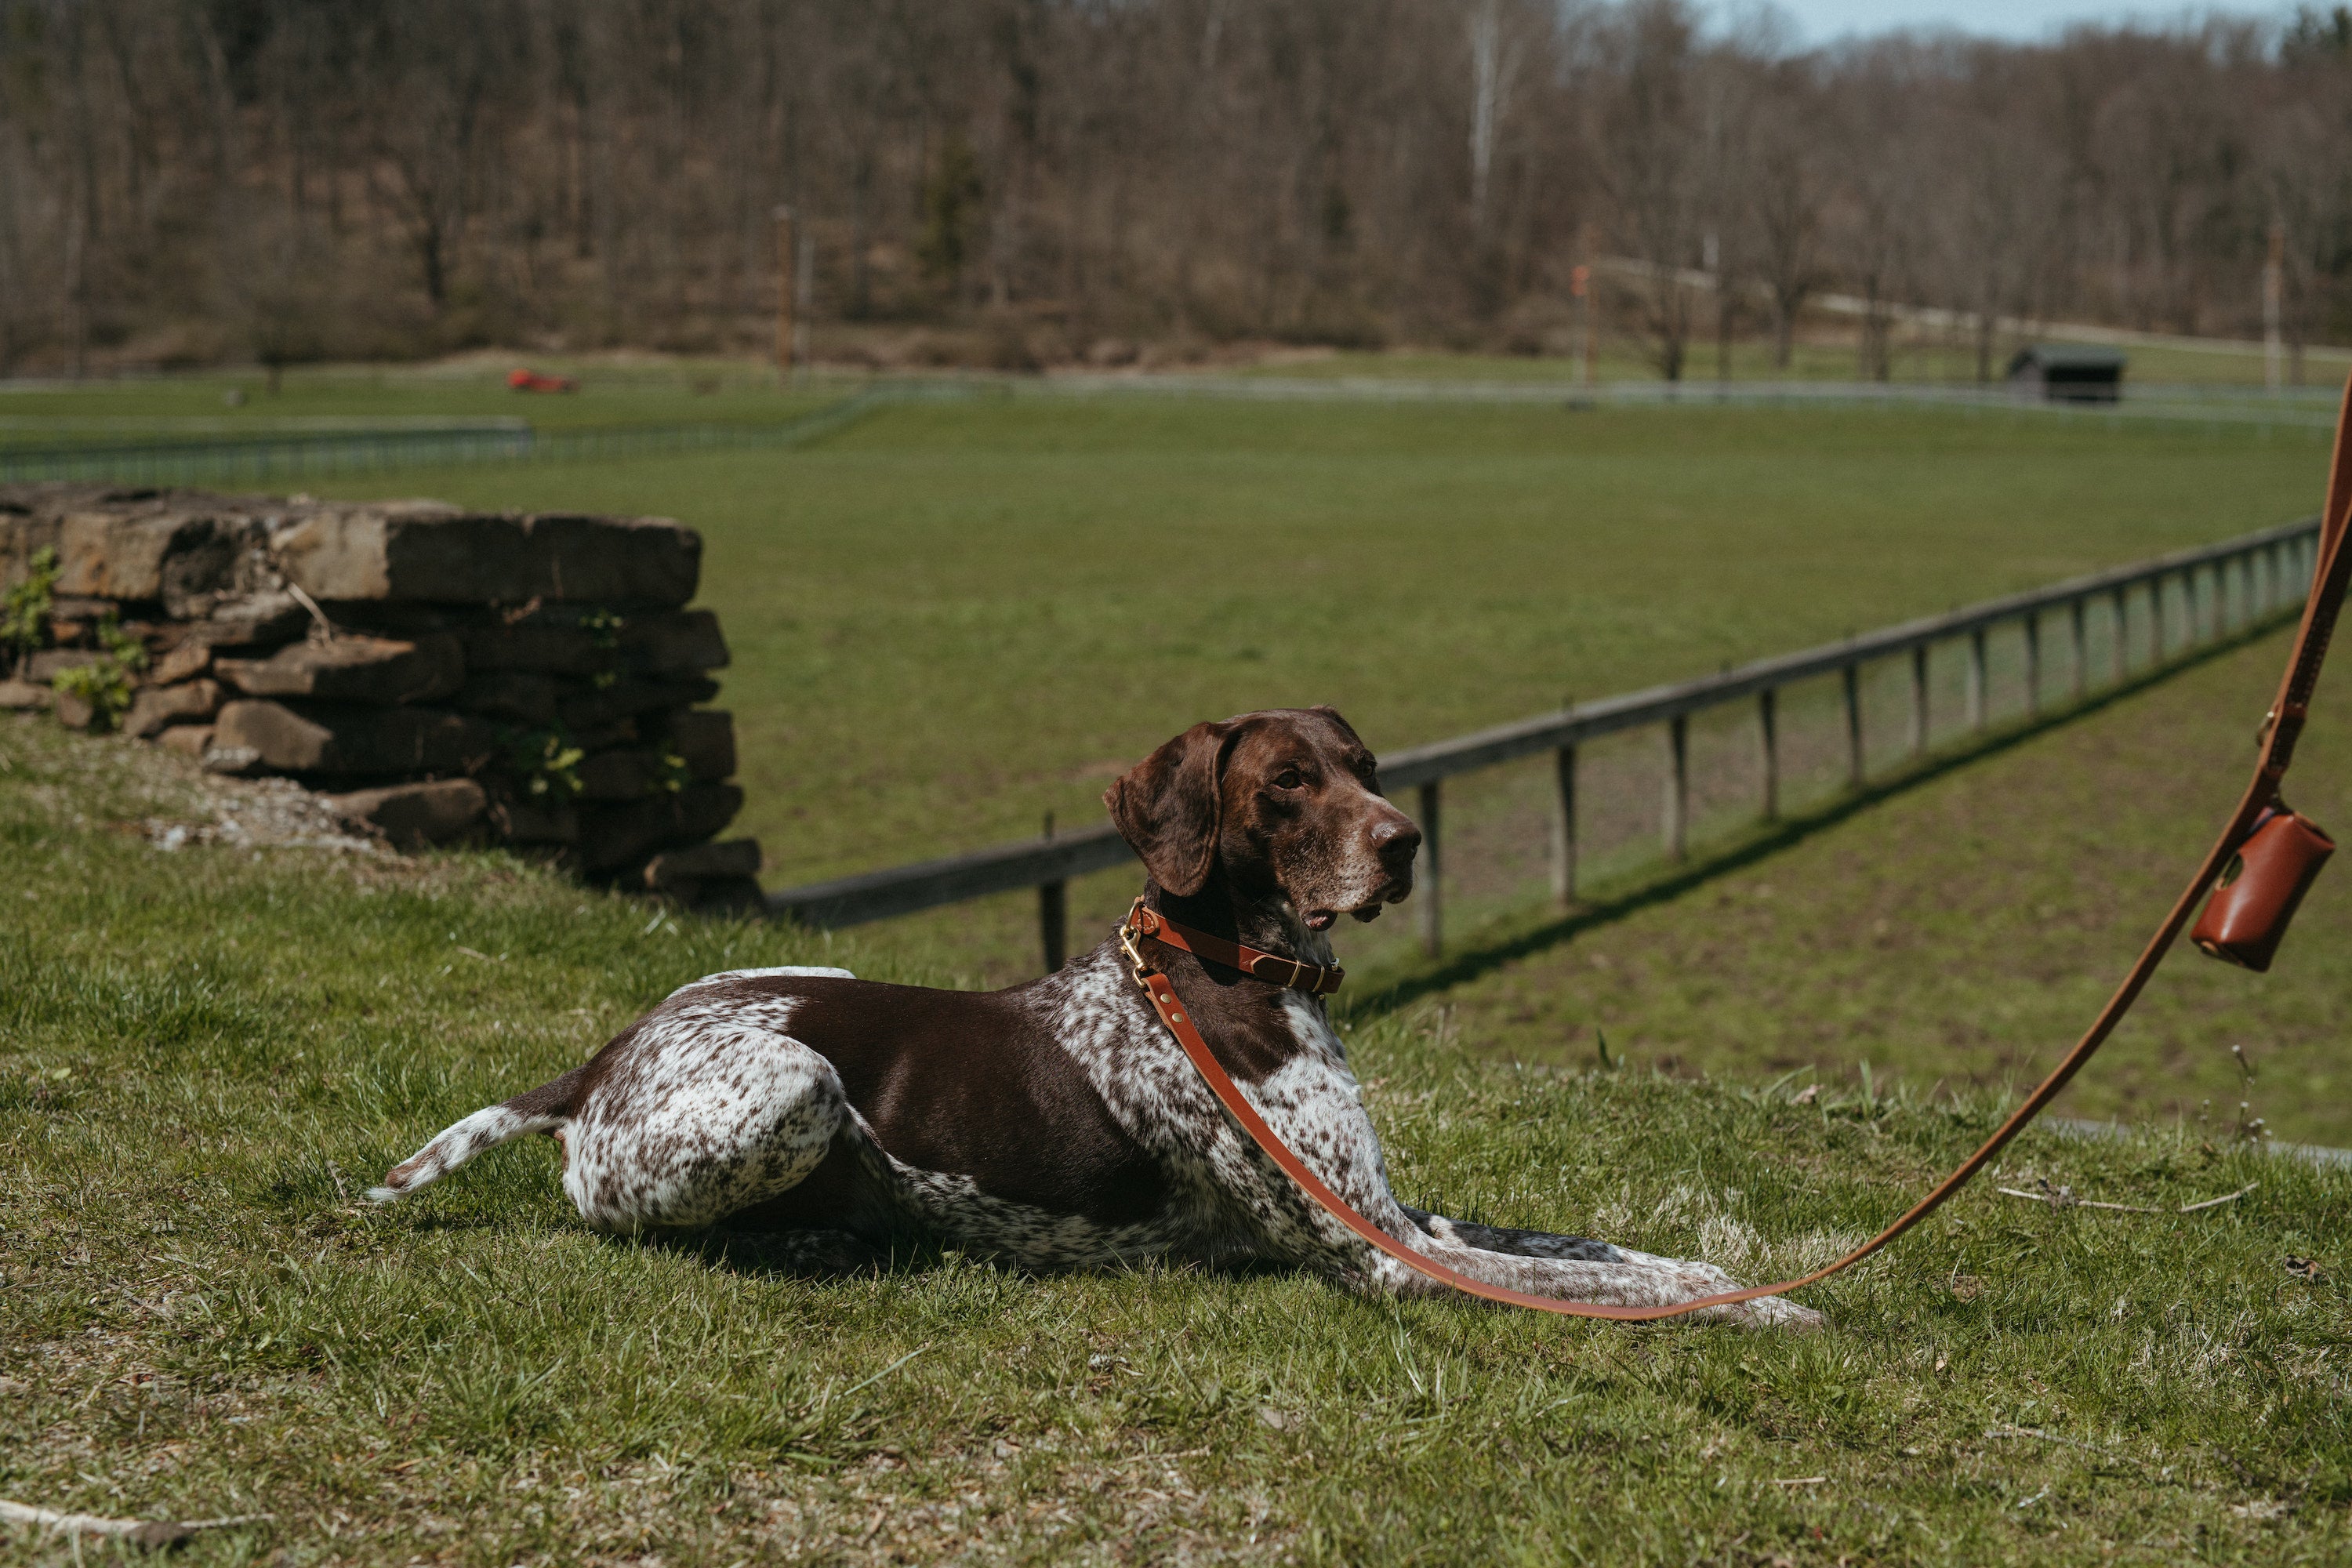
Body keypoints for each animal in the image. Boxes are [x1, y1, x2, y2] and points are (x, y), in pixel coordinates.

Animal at [367, 710, 1816, 1326]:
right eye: (1289, 785)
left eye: (1366, 767)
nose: (1405, 844)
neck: (1230, 965)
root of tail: (596, 1065)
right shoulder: (1389, 1252)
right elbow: (1587, 1287)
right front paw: (1772, 1314)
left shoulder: (1405, 1215)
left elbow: (1612, 1257)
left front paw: (1731, 1275)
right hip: (791, 1085)